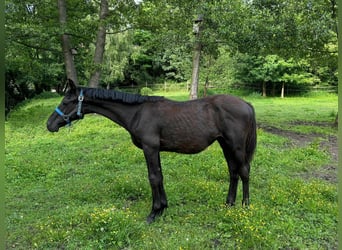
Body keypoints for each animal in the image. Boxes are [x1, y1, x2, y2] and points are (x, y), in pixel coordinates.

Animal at [46, 79, 256, 223]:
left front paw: (154, 212)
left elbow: (153, 177)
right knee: (233, 171)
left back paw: (245, 206)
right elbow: (159, 176)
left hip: (236, 146)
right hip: (225, 144)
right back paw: (229, 203)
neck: (138, 113)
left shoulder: (150, 147)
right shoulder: (155, 150)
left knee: (244, 171)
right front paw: (163, 208)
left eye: (66, 102)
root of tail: (246, 104)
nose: (49, 125)